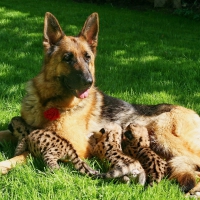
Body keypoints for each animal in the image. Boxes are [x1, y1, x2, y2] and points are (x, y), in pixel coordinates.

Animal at [0, 11, 200, 195]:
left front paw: (5, 164)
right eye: (67, 58)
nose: (89, 82)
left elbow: (26, 153)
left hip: (163, 135)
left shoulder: (72, 145)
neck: (48, 102)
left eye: (87, 57)